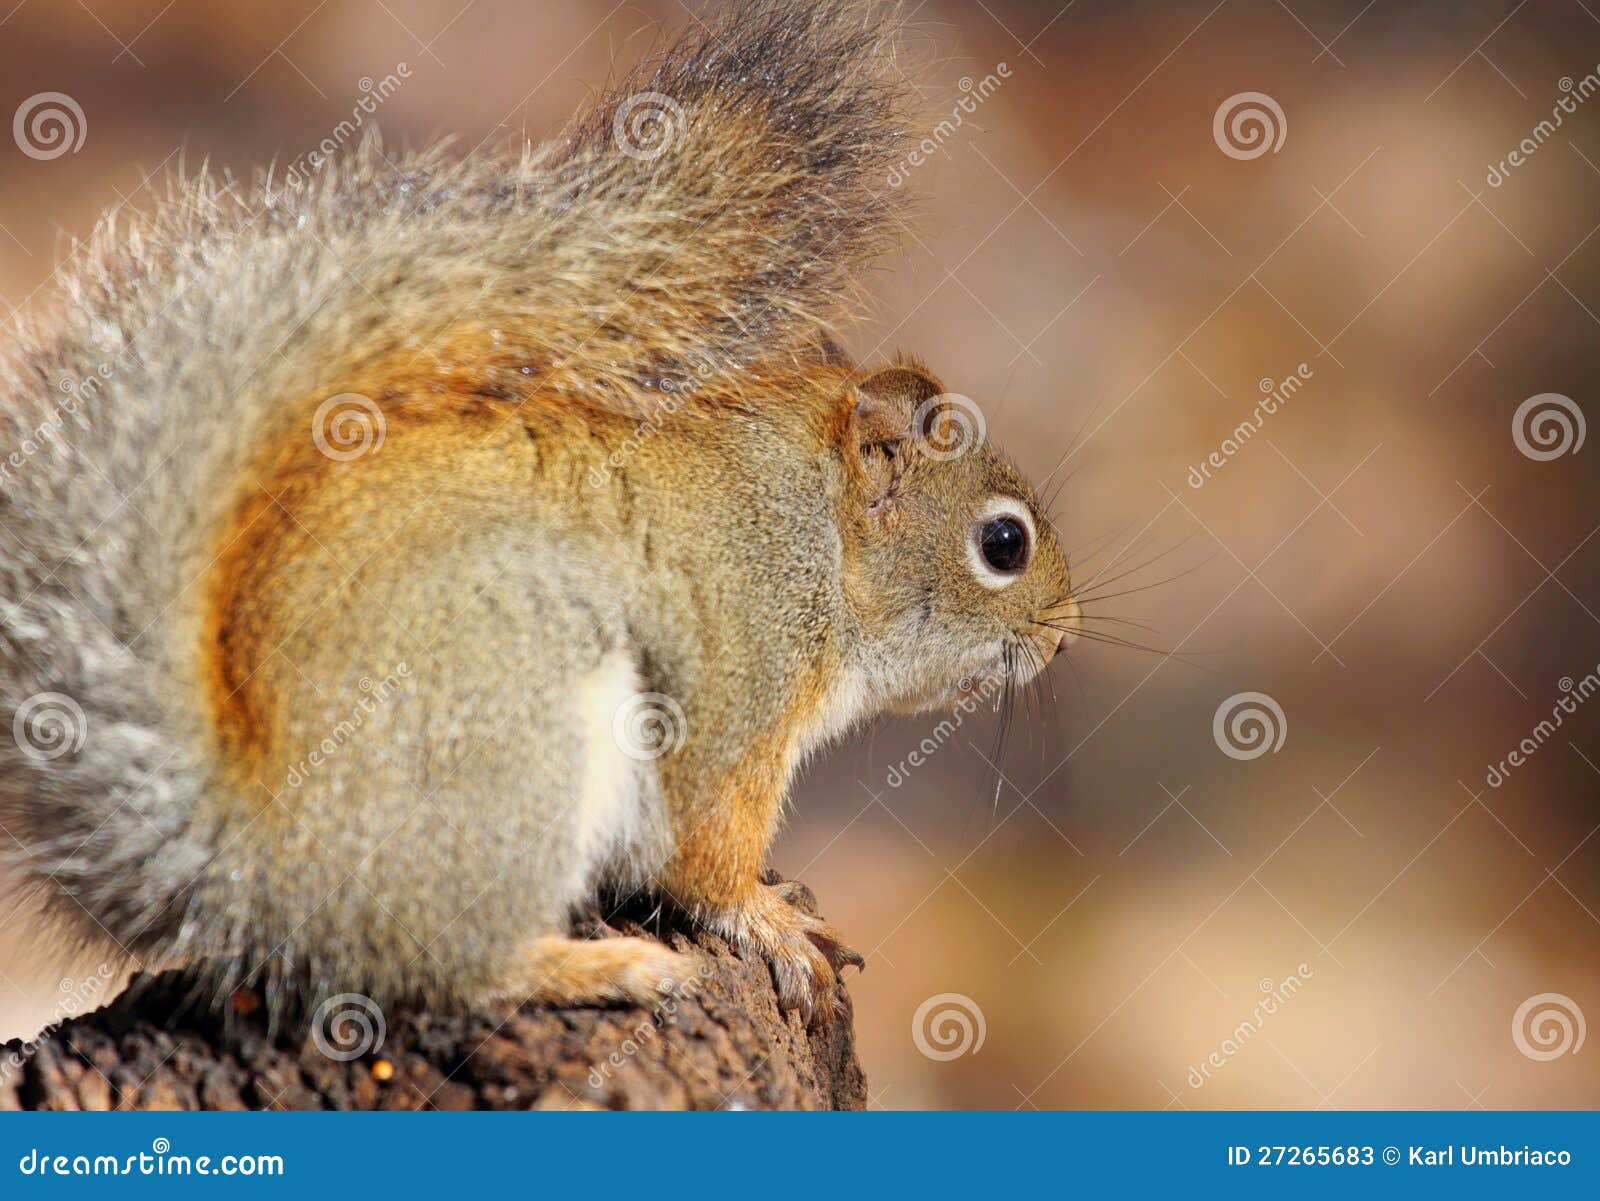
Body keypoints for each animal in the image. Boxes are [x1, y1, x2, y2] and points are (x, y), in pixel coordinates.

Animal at [0, 0, 1080, 1026]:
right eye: (1004, 543)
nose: (1064, 640)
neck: (812, 534)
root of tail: (260, 863)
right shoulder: (737, 681)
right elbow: (706, 850)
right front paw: (770, 918)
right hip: (517, 738)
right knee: (447, 966)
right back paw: (597, 965)